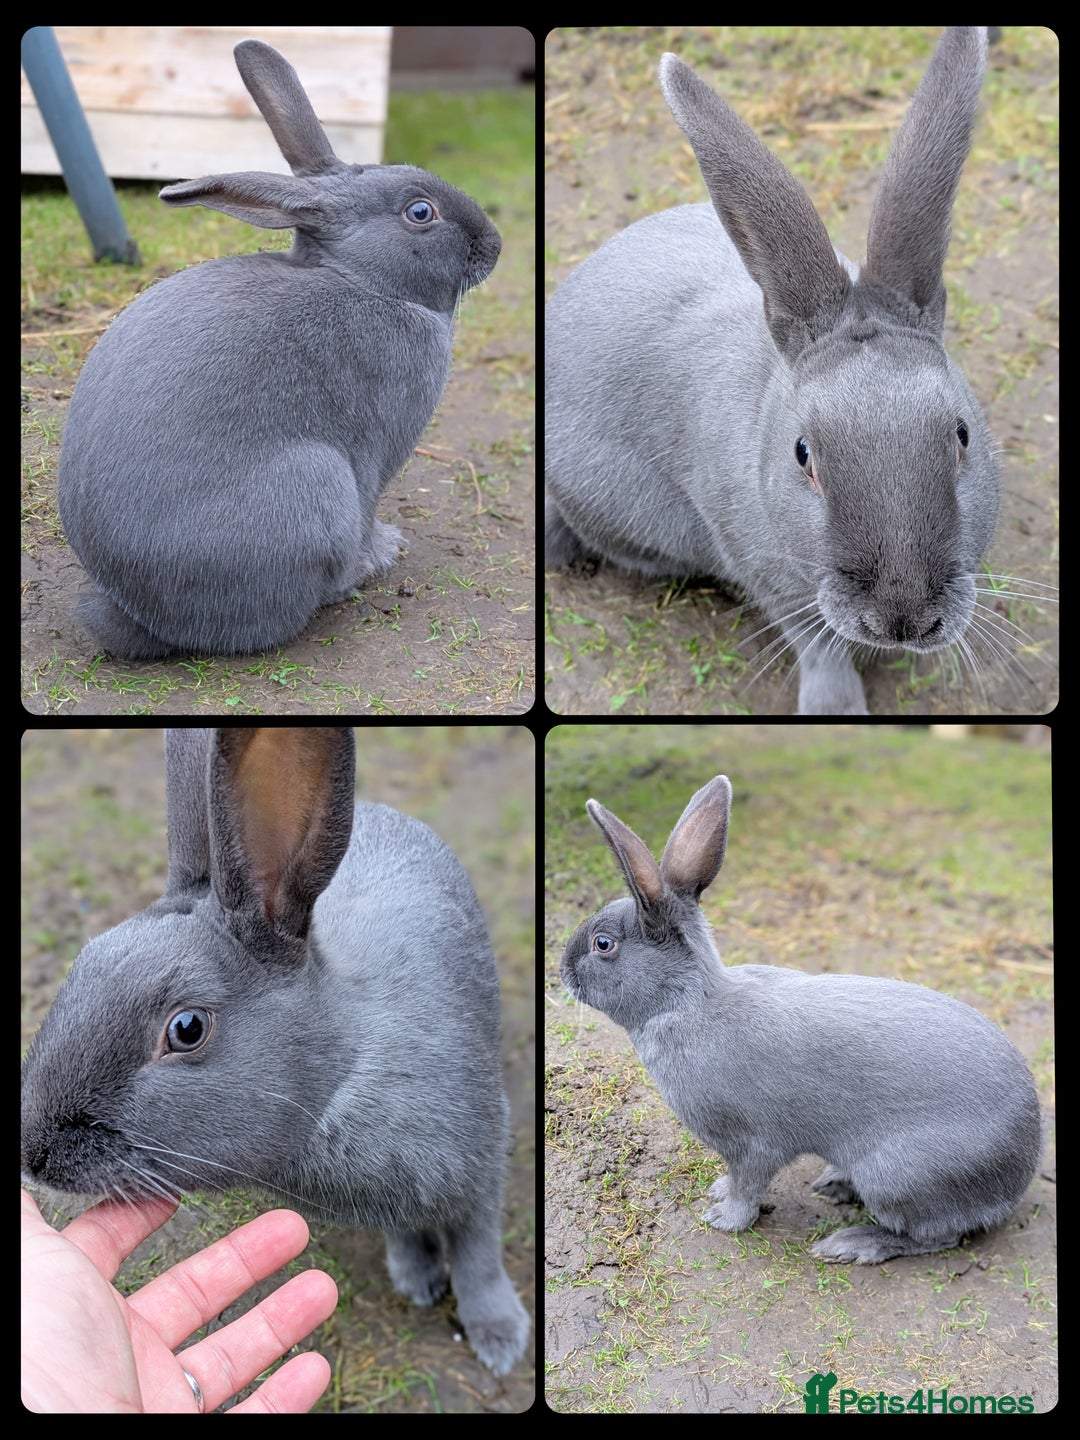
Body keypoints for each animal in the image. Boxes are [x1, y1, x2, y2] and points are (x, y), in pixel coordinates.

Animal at [20, 727, 529, 1376]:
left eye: (187, 1028)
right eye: (82, 962)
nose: (33, 1155)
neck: (343, 1072)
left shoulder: (482, 1166)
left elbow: (478, 1256)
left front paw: (500, 1338)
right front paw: (417, 1278)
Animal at [58, 40, 502, 660]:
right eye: (420, 213)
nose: (495, 245)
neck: (363, 279)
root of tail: (145, 614)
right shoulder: (377, 447)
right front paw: (385, 547)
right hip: (318, 481)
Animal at [545, 27, 999, 715]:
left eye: (963, 436)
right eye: (802, 453)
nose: (904, 617)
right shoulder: (770, 576)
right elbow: (817, 645)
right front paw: (836, 707)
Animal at [560, 774, 1042, 1264]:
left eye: (603, 945)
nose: (562, 971)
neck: (688, 1002)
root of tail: (1018, 1174)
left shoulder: (751, 1144)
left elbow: (748, 1186)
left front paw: (724, 1218)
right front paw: (718, 1192)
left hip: (898, 1176)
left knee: (934, 1236)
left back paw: (851, 1243)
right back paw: (834, 1185)